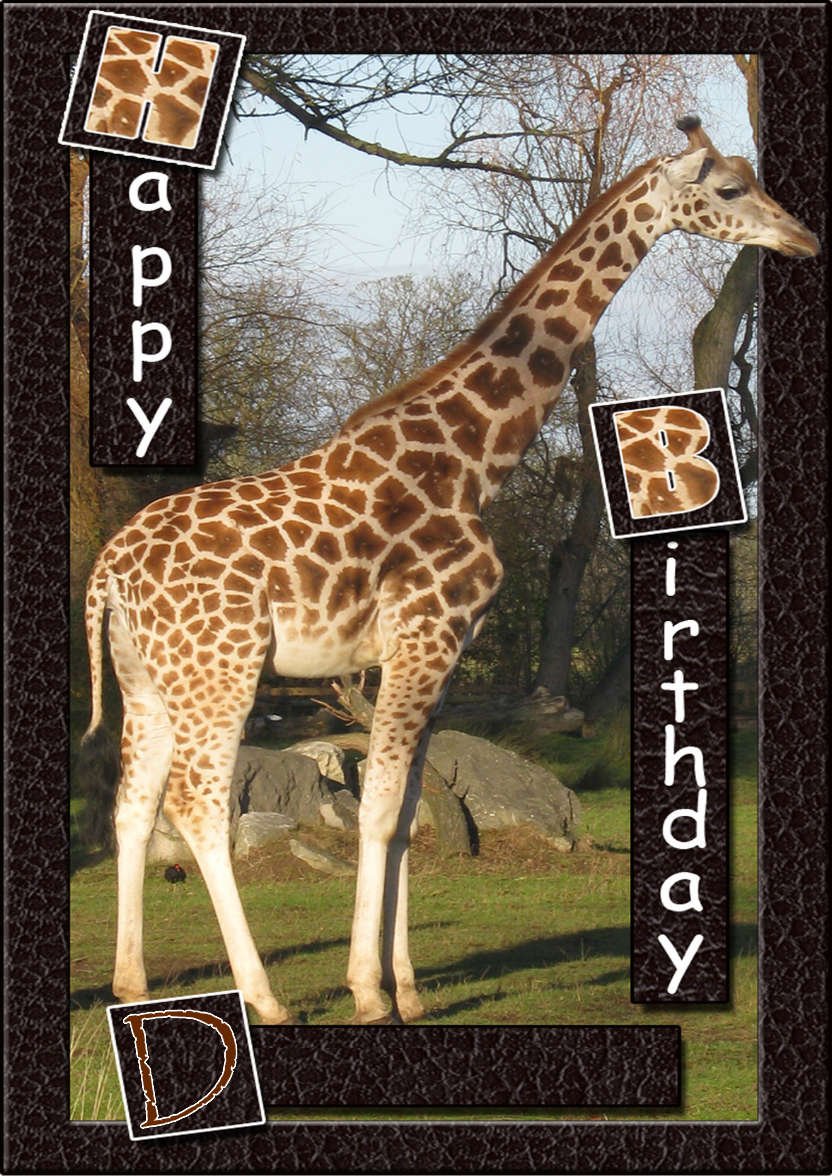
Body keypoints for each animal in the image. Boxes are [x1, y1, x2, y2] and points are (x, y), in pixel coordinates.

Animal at [81, 116, 818, 1025]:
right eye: (728, 188)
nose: (803, 238)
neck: (473, 460)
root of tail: (108, 570)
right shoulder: (423, 637)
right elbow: (375, 813)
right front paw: (368, 992)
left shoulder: (443, 651)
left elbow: (404, 818)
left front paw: (409, 991)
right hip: (220, 669)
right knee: (199, 805)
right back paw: (266, 999)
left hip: (148, 676)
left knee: (132, 804)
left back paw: (132, 985)